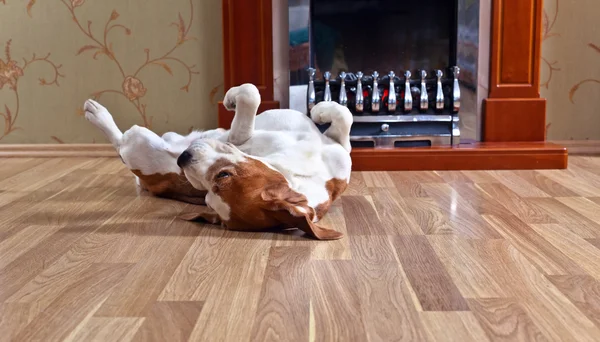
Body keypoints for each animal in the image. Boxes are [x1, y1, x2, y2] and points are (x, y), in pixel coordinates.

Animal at [86, 82, 354, 239]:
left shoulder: (238, 137)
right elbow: (345, 116)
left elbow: (250, 97)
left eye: (222, 176)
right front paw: (321, 109)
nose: (183, 159)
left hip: (139, 142)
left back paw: (96, 113)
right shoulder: (338, 148)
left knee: (121, 142)